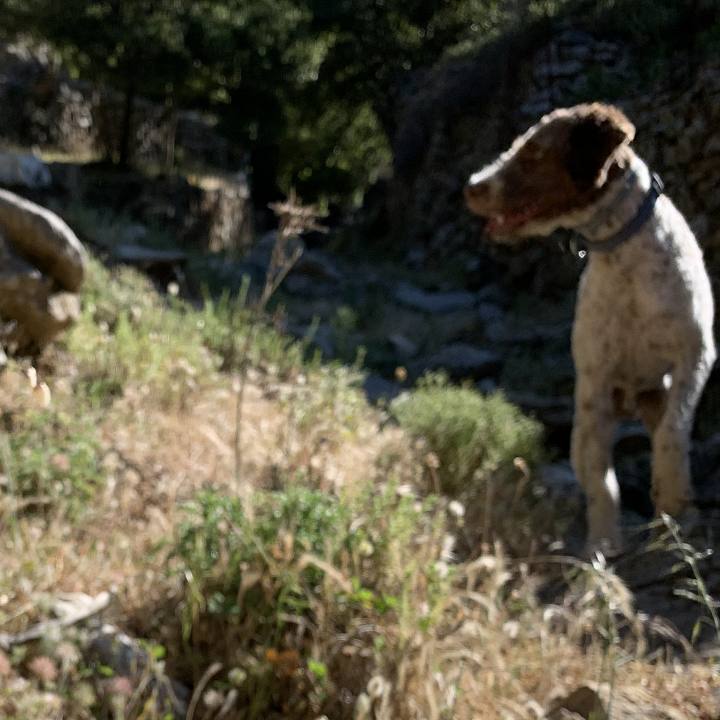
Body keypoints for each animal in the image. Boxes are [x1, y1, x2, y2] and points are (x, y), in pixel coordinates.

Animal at [464, 101, 716, 556]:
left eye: (533, 151)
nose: (471, 187)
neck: (624, 256)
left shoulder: (696, 356)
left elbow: (672, 435)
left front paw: (672, 497)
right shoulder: (594, 385)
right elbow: (601, 480)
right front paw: (602, 543)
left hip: (657, 393)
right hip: (586, 419)